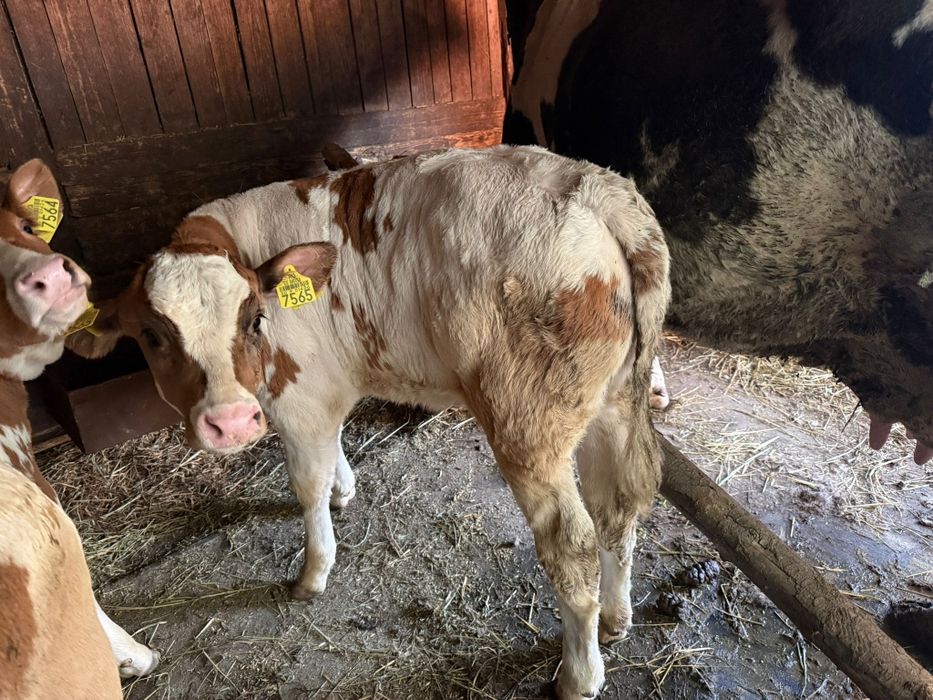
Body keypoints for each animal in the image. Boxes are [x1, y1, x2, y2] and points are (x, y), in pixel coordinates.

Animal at [68, 145, 670, 699]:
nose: (231, 422)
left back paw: (579, 675)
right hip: (616, 401)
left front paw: (313, 571)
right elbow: (333, 450)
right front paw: (345, 489)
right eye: (151, 336)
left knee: (573, 541)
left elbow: (305, 486)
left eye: (255, 319)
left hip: (527, 423)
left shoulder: (299, 396)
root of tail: (589, 183)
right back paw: (615, 618)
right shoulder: (326, 388)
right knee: (618, 507)